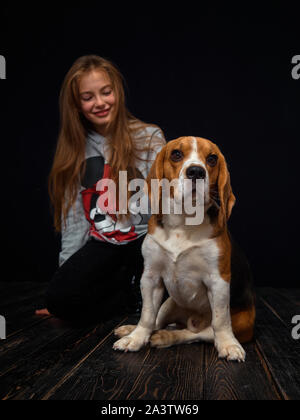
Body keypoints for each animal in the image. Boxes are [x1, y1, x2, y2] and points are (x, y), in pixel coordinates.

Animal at [113, 137, 254, 360]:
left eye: (212, 158)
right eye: (176, 154)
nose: (196, 172)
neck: (183, 222)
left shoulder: (219, 280)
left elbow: (221, 320)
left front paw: (228, 344)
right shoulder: (151, 277)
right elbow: (147, 315)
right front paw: (136, 338)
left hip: (243, 322)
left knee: (196, 333)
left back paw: (166, 337)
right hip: (168, 303)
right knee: (157, 321)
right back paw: (133, 330)